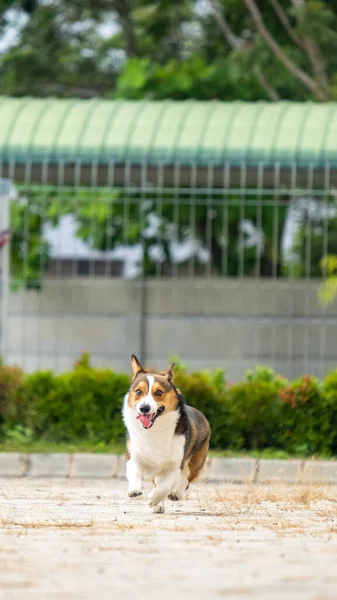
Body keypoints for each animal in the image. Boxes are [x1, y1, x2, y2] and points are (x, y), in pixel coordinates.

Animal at [121, 354, 210, 512]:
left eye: (158, 392)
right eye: (138, 392)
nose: (144, 408)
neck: (154, 429)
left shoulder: (174, 466)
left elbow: (165, 486)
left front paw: (153, 498)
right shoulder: (133, 456)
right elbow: (135, 472)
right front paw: (135, 490)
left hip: (196, 460)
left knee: (186, 479)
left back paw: (176, 494)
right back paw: (158, 505)